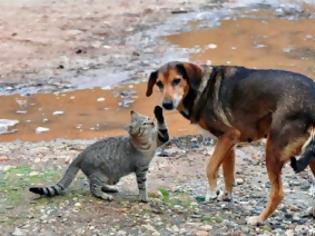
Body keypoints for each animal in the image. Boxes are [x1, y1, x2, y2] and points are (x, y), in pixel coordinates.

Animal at [30, 106, 170, 202]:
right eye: (145, 124)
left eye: (148, 119)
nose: (152, 122)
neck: (147, 142)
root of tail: (81, 153)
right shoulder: (141, 168)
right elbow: (142, 185)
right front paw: (144, 198)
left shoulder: (161, 138)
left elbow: (163, 127)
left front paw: (158, 110)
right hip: (99, 175)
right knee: (93, 188)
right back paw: (104, 195)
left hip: (108, 176)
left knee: (97, 185)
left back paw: (110, 189)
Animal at [146, 60, 315, 225]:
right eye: (159, 84)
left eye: (177, 80)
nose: (166, 104)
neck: (199, 88)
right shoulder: (228, 143)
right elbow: (228, 172)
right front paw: (226, 195)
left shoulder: (229, 135)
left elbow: (210, 167)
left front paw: (212, 192)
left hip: (272, 152)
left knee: (278, 193)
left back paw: (258, 219)